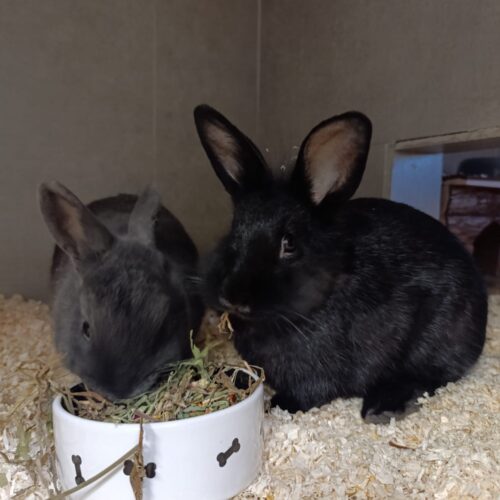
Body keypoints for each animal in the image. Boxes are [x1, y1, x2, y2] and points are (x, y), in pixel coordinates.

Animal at [193, 104, 488, 423]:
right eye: (233, 231)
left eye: (289, 243)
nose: (233, 297)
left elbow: (305, 395)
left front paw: (277, 405)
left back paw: (382, 406)